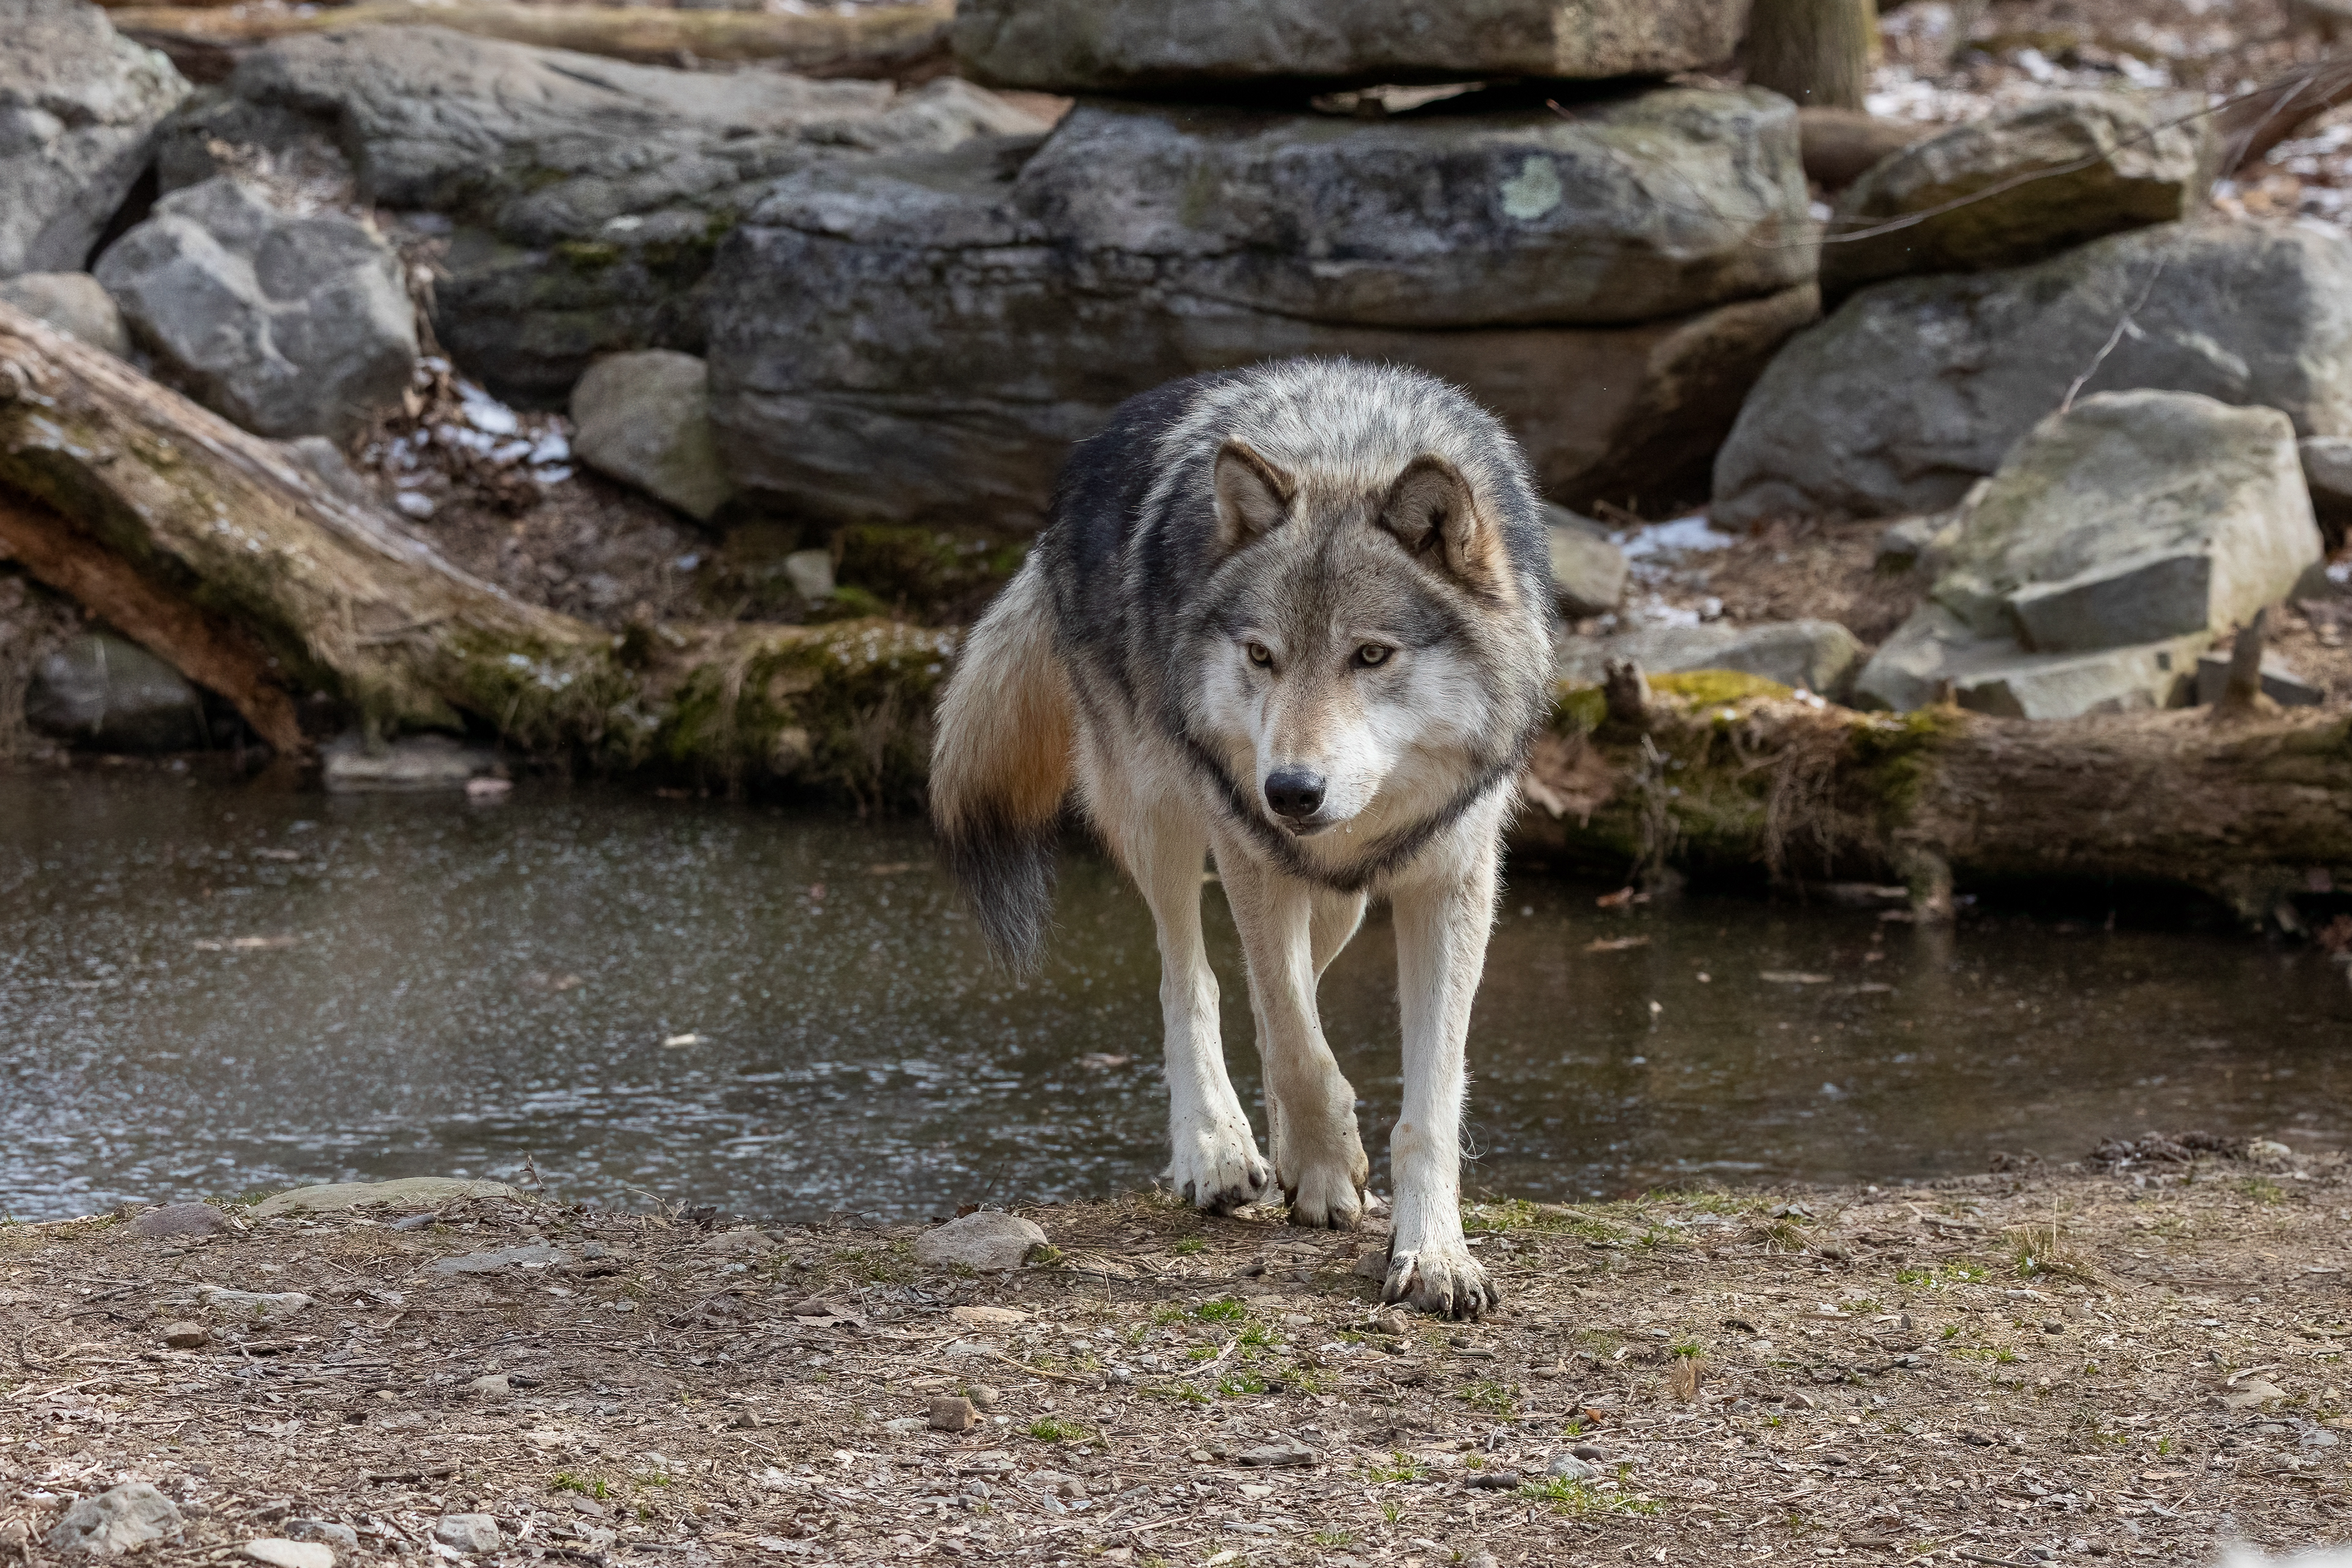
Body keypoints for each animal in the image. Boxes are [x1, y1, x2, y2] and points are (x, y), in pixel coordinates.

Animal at [930, 358, 1556, 1318]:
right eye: (1262, 656)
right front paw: (1327, 1162)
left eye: (1371, 656)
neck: (1346, 450)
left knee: (1285, 981)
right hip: (1158, 809)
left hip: (1337, 895)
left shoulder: (1452, 877)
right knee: (1192, 977)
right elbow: (1295, 1035)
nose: (1290, 790)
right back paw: (1217, 1150)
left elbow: (1426, 1097)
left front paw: (1435, 1254)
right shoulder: (1250, 846)